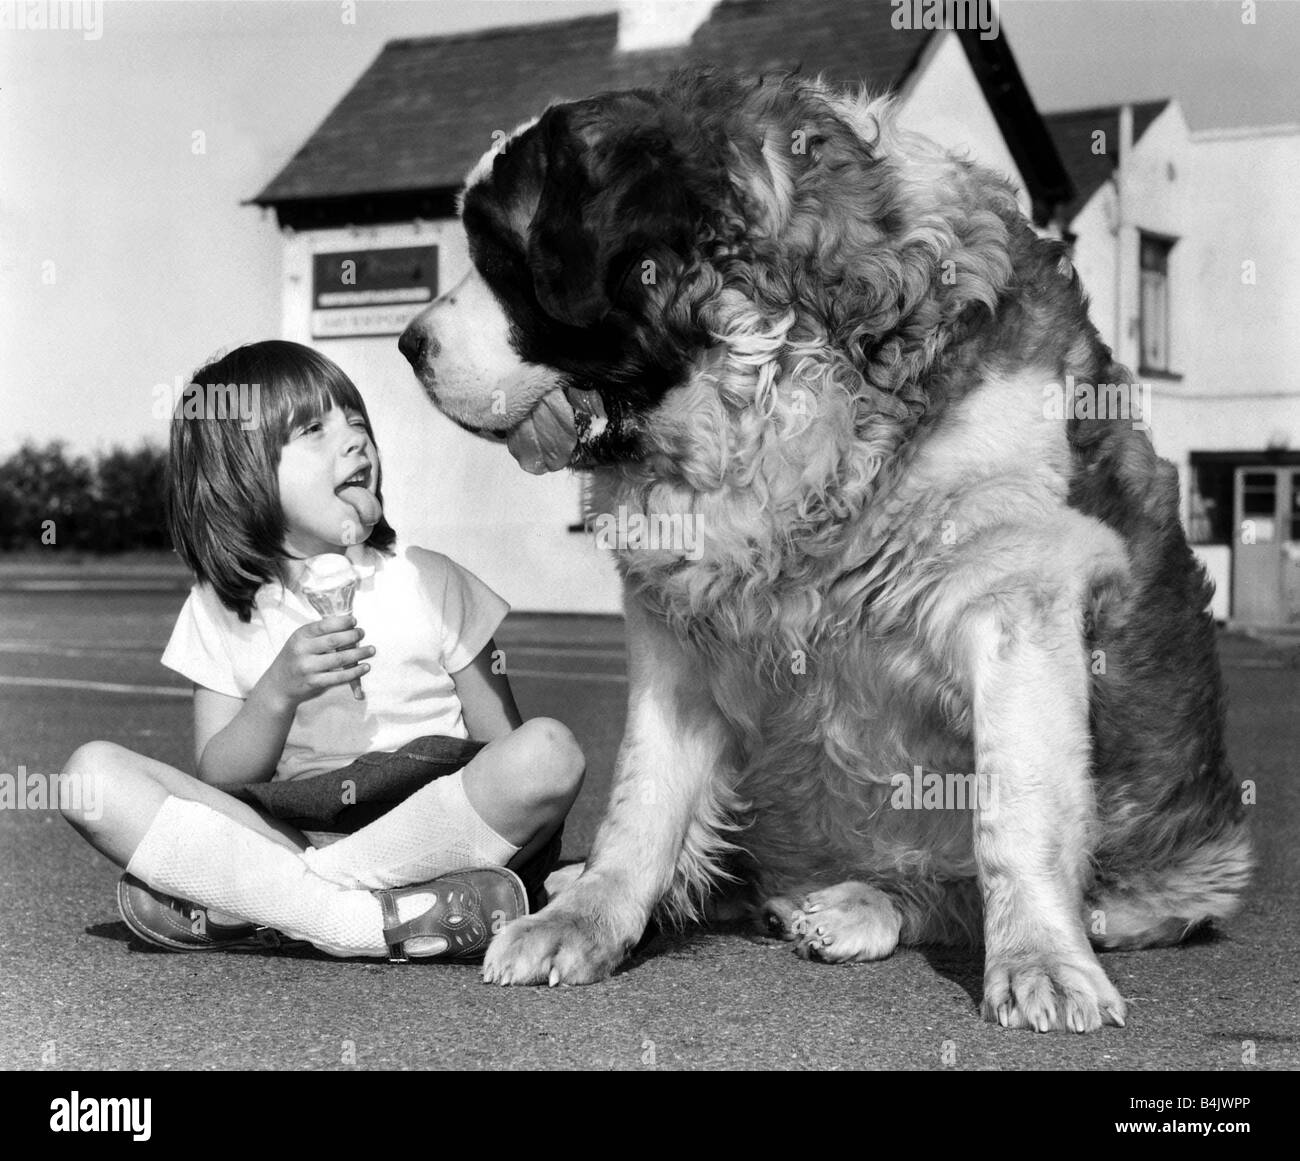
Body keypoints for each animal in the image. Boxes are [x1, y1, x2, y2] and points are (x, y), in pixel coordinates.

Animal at [397, 67, 1248, 1029]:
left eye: (503, 257)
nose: (408, 344)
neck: (776, 378)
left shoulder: (1013, 603)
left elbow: (1016, 810)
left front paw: (1040, 959)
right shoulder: (675, 636)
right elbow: (641, 797)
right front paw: (589, 916)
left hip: (1166, 880)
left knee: (978, 888)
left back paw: (858, 906)